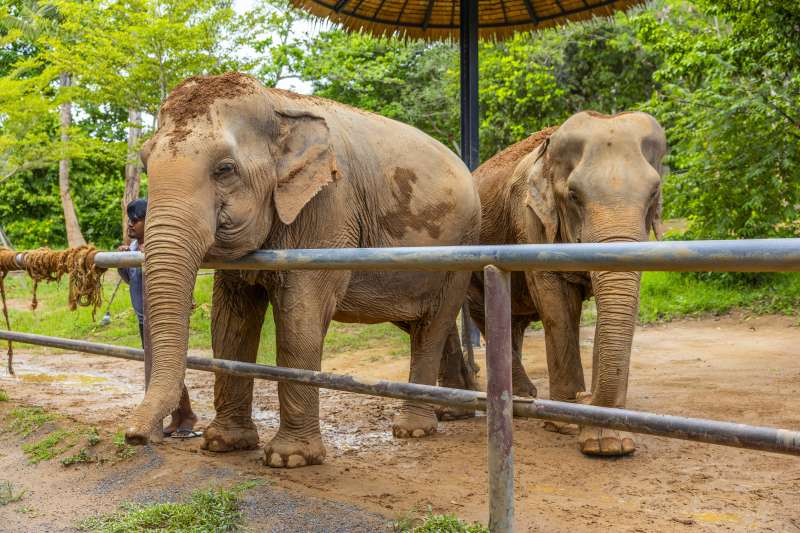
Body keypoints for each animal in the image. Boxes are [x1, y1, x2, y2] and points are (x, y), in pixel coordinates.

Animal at [124, 72, 481, 468]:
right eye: (145, 163)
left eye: (225, 169)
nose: (134, 436)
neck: (275, 103)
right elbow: (230, 320)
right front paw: (223, 443)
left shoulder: (328, 207)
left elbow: (301, 315)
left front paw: (289, 458)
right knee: (426, 322)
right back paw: (455, 412)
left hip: (461, 246)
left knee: (434, 323)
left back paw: (413, 429)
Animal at [441, 110, 667, 456]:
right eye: (574, 195)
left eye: (654, 192)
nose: (585, 399)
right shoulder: (531, 220)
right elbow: (556, 306)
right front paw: (568, 424)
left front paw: (609, 443)